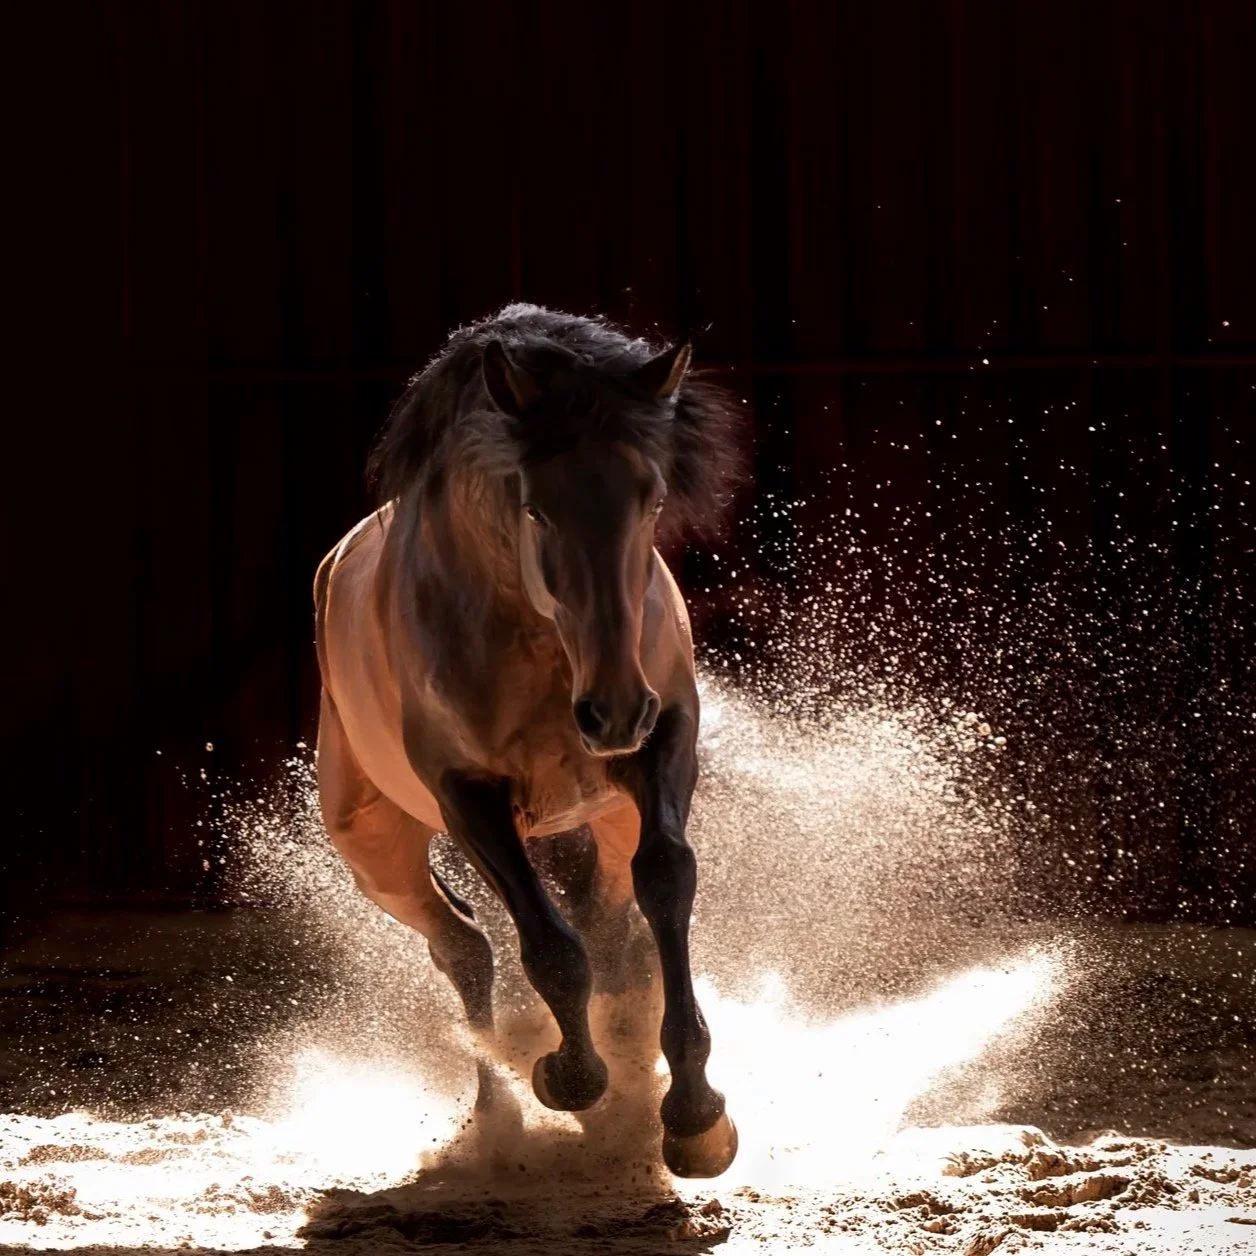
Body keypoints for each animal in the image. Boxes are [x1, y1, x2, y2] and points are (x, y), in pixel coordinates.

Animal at [313, 304, 741, 1178]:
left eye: (650, 500)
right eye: (537, 508)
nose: (613, 711)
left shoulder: (662, 744)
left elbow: (665, 883)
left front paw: (694, 1115)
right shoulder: (468, 794)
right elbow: (549, 946)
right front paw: (571, 1077)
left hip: (609, 810)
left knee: (603, 928)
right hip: (376, 852)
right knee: (463, 946)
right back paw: (500, 1117)